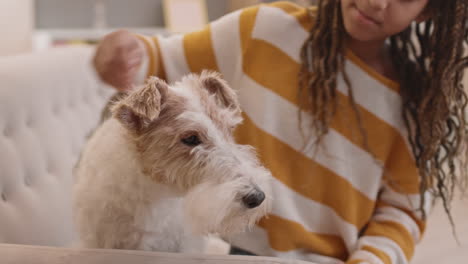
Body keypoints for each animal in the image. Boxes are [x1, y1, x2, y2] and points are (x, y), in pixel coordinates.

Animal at [72, 71, 272, 253]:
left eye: (229, 129)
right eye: (191, 138)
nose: (257, 197)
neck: (157, 191)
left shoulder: (187, 245)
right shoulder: (99, 241)